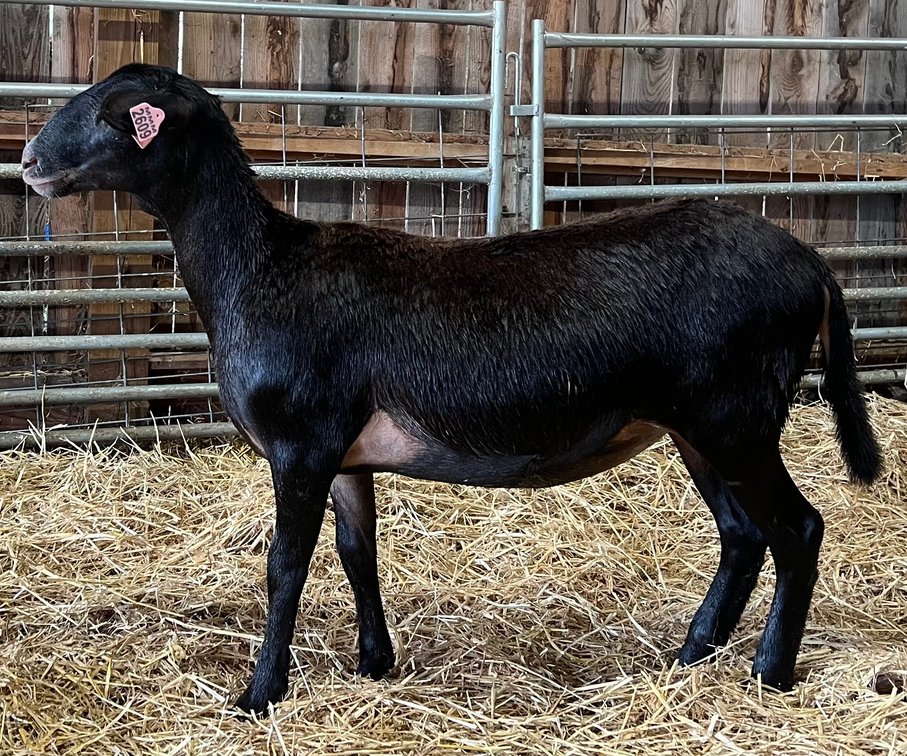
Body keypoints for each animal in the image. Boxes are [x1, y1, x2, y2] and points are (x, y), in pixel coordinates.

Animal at [21, 63, 882, 716]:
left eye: (111, 114)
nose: (28, 160)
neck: (258, 269)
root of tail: (811, 266)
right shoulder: (345, 454)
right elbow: (358, 553)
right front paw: (374, 663)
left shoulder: (299, 444)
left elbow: (285, 567)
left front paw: (259, 695)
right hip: (696, 427)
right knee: (741, 537)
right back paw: (689, 656)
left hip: (735, 415)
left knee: (796, 530)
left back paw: (767, 673)